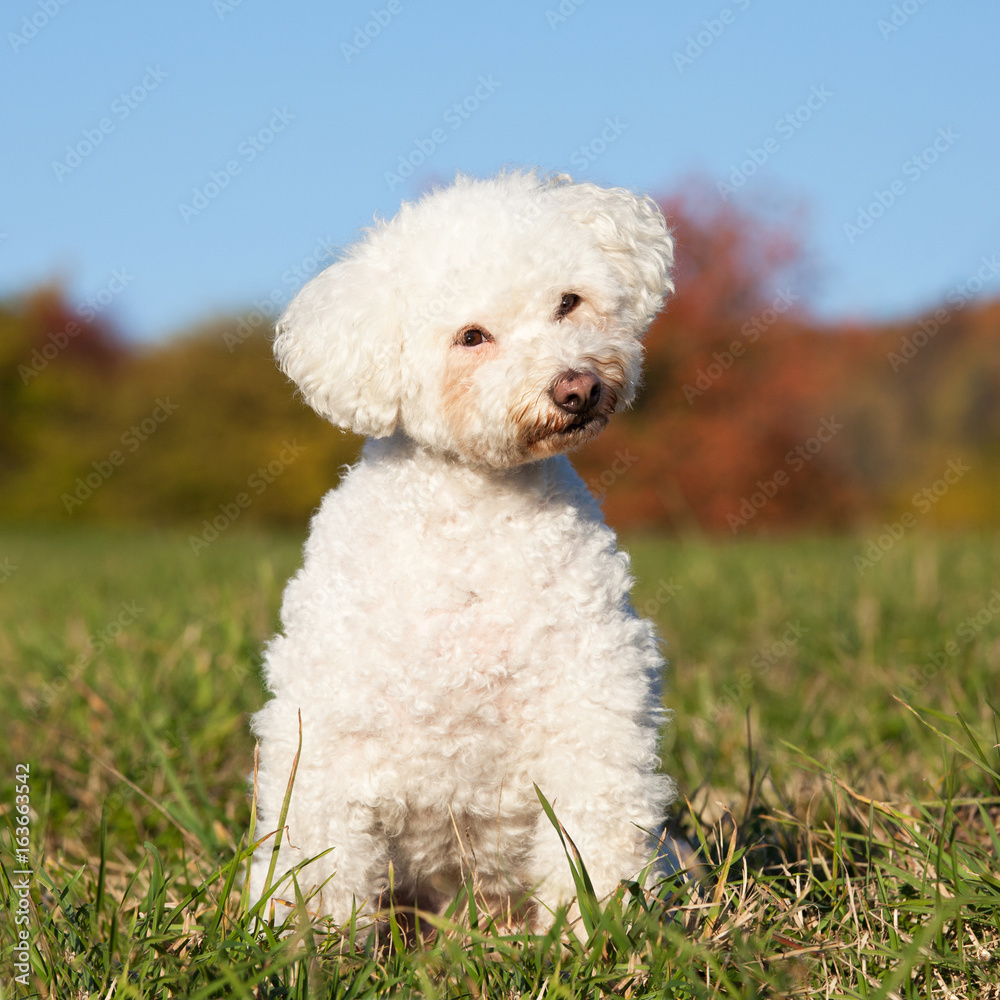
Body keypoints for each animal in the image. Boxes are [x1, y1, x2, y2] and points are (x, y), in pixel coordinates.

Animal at [248, 168, 680, 924]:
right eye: (471, 337)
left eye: (568, 302)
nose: (577, 387)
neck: (476, 521)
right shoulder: (328, 731)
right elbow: (317, 862)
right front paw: (303, 941)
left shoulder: (594, 708)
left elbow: (595, 841)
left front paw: (600, 933)